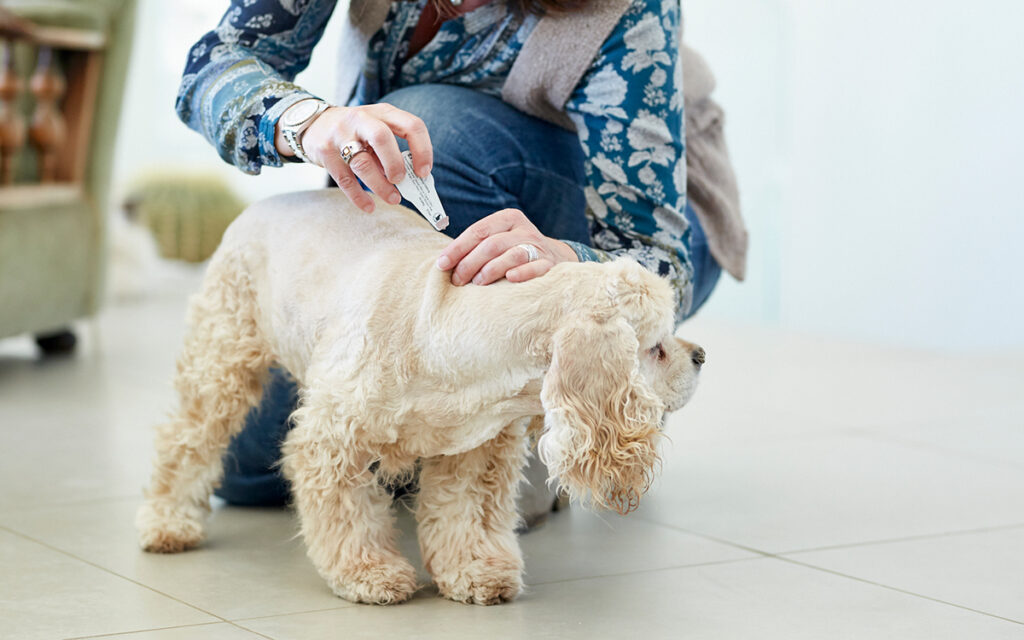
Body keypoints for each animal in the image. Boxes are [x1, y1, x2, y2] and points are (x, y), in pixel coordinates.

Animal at [138, 188, 704, 602]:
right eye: (656, 348)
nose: (701, 355)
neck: (445, 330)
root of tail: (265, 200)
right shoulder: (332, 439)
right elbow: (348, 514)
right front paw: (369, 574)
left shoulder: (476, 448)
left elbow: (465, 514)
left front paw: (476, 572)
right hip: (222, 358)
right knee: (185, 439)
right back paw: (169, 523)